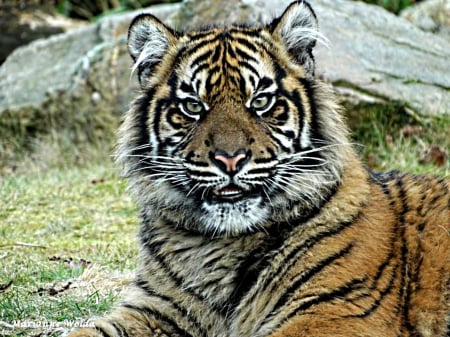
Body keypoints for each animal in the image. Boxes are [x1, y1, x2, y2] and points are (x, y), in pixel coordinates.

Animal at [67, 0, 450, 336]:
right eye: (193, 106)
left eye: (261, 101)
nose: (230, 158)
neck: (215, 246)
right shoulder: (154, 309)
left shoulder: (334, 311)